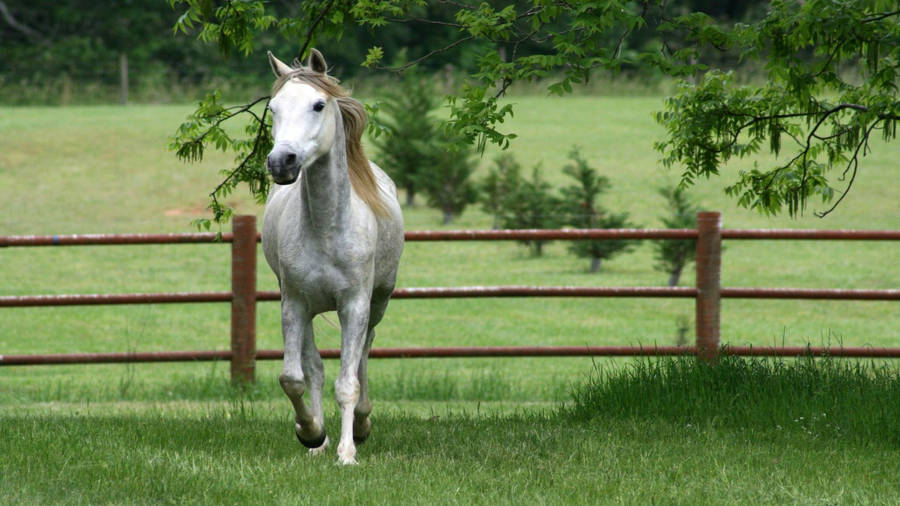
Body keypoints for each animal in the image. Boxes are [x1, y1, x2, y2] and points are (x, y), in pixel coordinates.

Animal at [264, 49, 404, 464]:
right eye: (273, 108)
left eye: (318, 104)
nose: (281, 162)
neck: (327, 229)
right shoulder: (293, 304)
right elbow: (295, 377)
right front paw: (311, 433)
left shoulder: (354, 305)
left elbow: (348, 382)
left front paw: (347, 453)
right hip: (307, 308)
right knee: (314, 367)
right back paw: (320, 442)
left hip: (377, 304)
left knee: (363, 356)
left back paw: (361, 425)